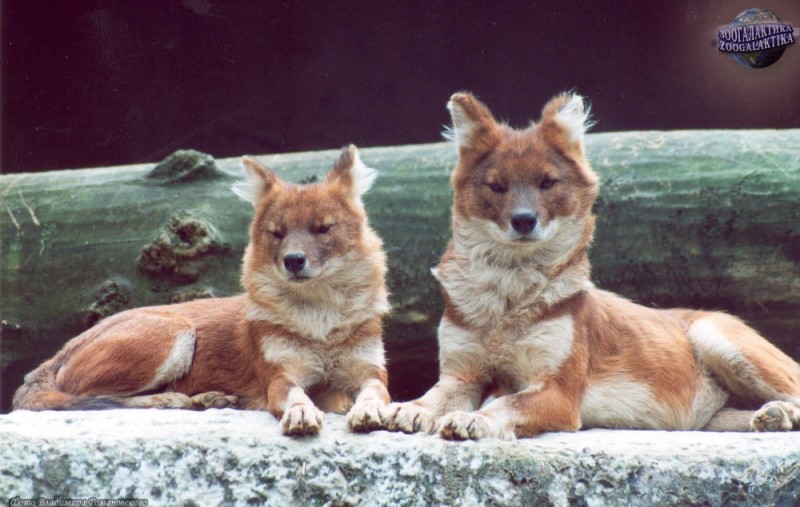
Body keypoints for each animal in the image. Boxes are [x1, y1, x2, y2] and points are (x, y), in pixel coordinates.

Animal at [10, 146, 390, 436]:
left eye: (323, 229)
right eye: (277, 233)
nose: (294, 260)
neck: (320, 319)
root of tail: (61, 352)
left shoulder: (369, 371)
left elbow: (374, 392)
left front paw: (368, 410)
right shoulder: (279, 376)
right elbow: (297, 395)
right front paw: (302, 412)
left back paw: (205, 399)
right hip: (174, 330)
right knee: (88, 399)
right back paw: (172, 400)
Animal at [382, 92, 800, 440]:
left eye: (547, 183)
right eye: (497, 186)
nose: (523, 220)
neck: (508, 295)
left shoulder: (559, 393)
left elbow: (507, 402)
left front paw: (474, 419)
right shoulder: (461, 374)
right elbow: (434, 396)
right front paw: (407, 408)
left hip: (717, 336)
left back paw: (781, 413)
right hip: (711, 414)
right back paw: (770, 417)